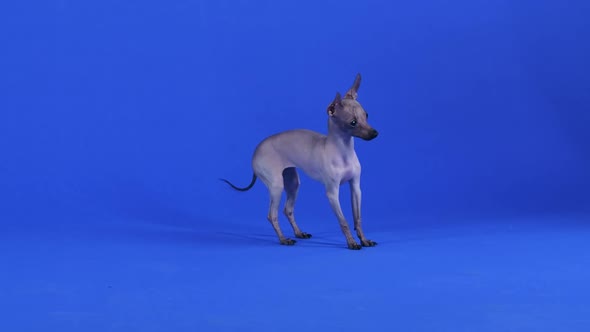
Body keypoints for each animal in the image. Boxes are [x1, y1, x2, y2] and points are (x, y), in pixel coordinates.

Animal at [221, 73, 380, 249]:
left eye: (366, 115)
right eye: (353, 122)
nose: (375, 133)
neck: (343, 151)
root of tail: (256, 150)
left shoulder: (356, 188)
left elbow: (358, 218)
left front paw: (364, 240)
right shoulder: (332, 193)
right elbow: (343, 221)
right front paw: (352, 242)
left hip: (292, 182)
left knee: (288, 210)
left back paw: (299, 233)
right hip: (277, 185)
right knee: (272, 215)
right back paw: (284, 239)